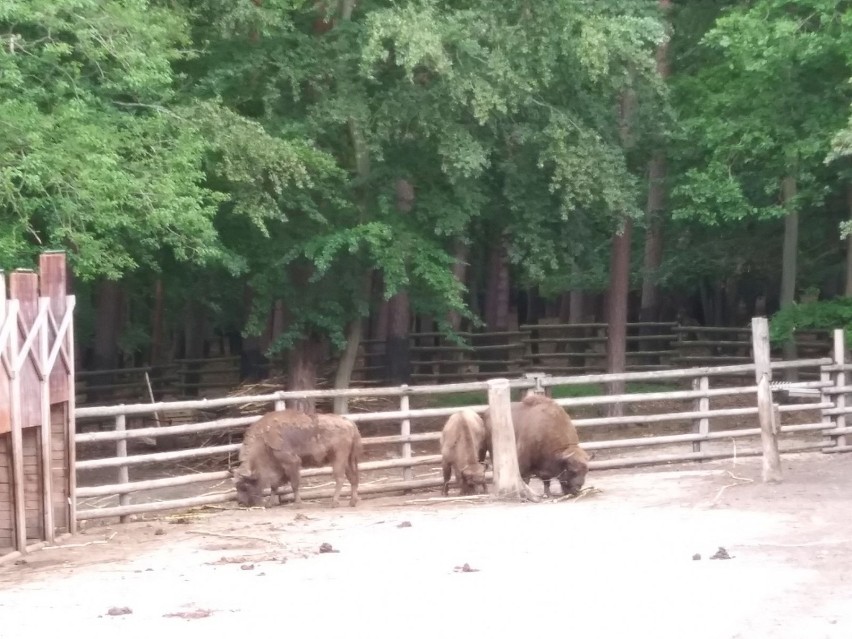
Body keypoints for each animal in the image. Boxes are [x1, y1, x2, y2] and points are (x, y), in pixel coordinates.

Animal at [231, 410, 362, 510]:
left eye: (244, 486)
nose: (241, 503)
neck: (263, 441)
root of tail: (349, 423)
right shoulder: (279, 468)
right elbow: (274, 486)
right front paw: (270, 503)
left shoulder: (292, 463)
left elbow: (294, 484)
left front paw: (297, 504)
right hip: (347, 460)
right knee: (353, 478)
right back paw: (352, 502)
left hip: (338, 458)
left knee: (340, 478)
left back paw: (334, 503)